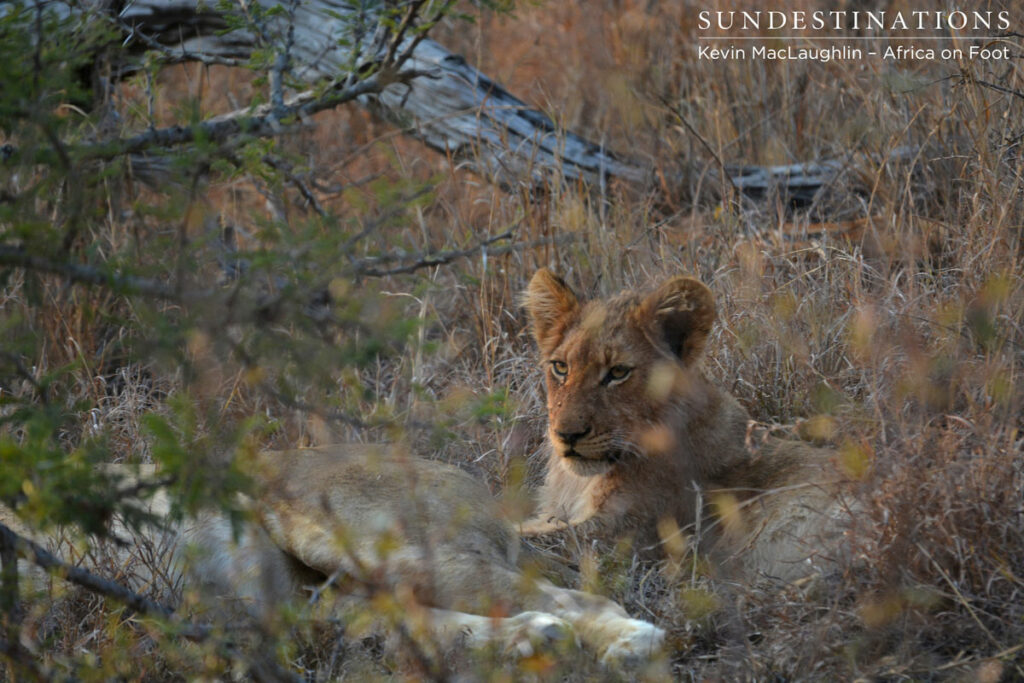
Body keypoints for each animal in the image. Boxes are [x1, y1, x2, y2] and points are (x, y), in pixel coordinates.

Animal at [0, 445, 665, 670]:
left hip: (351, 539)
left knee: (577, 597)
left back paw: (632, 645)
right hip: (314, 605)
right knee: (411, 628)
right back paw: (536, 640)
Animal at [520, 269, 857, 582]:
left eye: (617, 372)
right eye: (561, 367)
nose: (567, 435)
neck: (578, 481)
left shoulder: (620, 536)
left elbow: (535, 539)